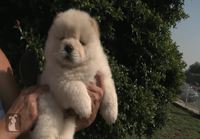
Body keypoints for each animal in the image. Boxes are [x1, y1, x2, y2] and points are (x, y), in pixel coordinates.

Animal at [32, 8, 118, 139]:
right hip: (49, 108)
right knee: (47, 128)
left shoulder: (103, 73)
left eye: (82, 42)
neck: (77, 67)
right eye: (62, 38)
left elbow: (110, 92)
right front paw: (86, 108)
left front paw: (111, 115)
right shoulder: (60, 82)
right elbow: (77, 87)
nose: (68, 47)